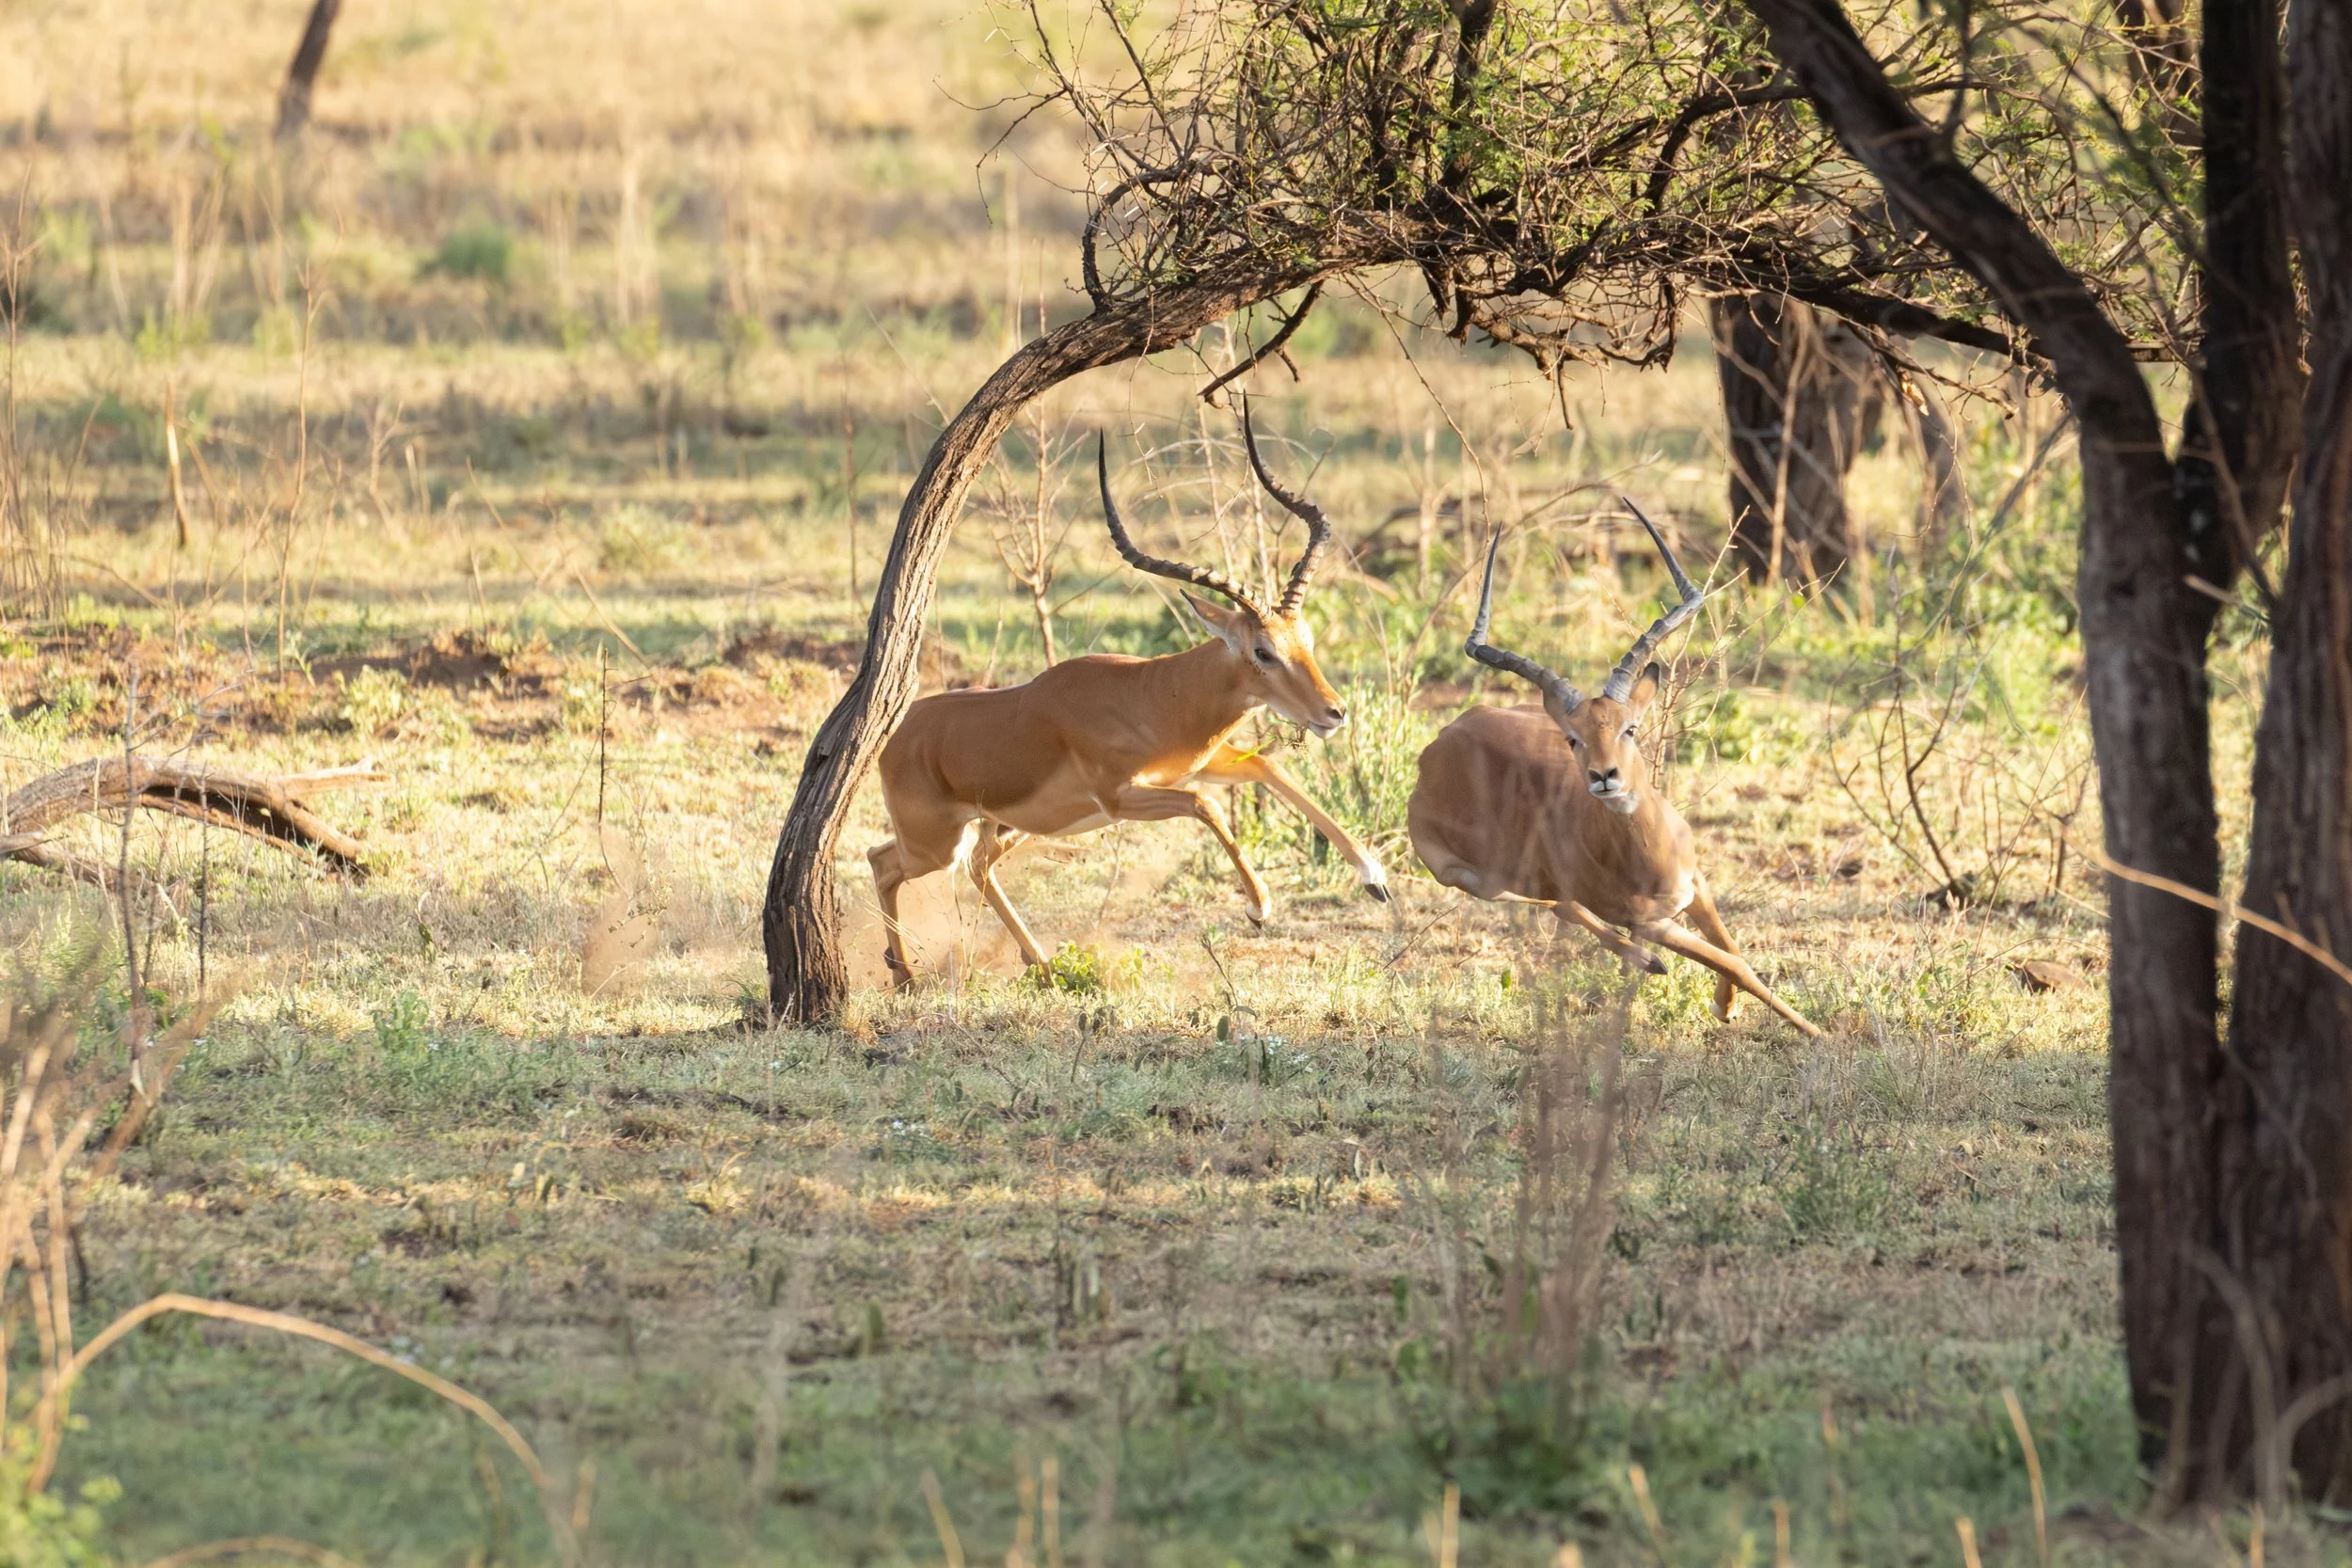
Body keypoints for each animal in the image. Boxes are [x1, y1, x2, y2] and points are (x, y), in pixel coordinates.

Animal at [868, 410, 1390, 984]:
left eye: (1307, 639)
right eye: (1262, 651)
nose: (1335, 712)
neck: (1153, 695)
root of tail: (895, 736)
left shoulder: (1195, 763)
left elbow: (1266, 768)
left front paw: (1374, 876)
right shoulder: (1123, 798)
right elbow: (1207, 804)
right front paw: (1259, 906)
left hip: (1006, 828)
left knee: (969, 863)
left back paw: (1035, 966)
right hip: (937, 844)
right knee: (883, 861)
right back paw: (908, 975)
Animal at [1408, 503, 1822, 1036]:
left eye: (1630, 728)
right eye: (1574, 738)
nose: (1604, 777)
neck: (1644, 854)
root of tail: (1436, 747)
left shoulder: (1696, 884)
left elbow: (1729, 946)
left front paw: (1726, 1006)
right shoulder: (1654, 921)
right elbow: (1733, 961)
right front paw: (1815, 1030)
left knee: (1560, 903)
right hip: (1470, 879)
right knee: (1559, 904)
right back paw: (1648, 962)